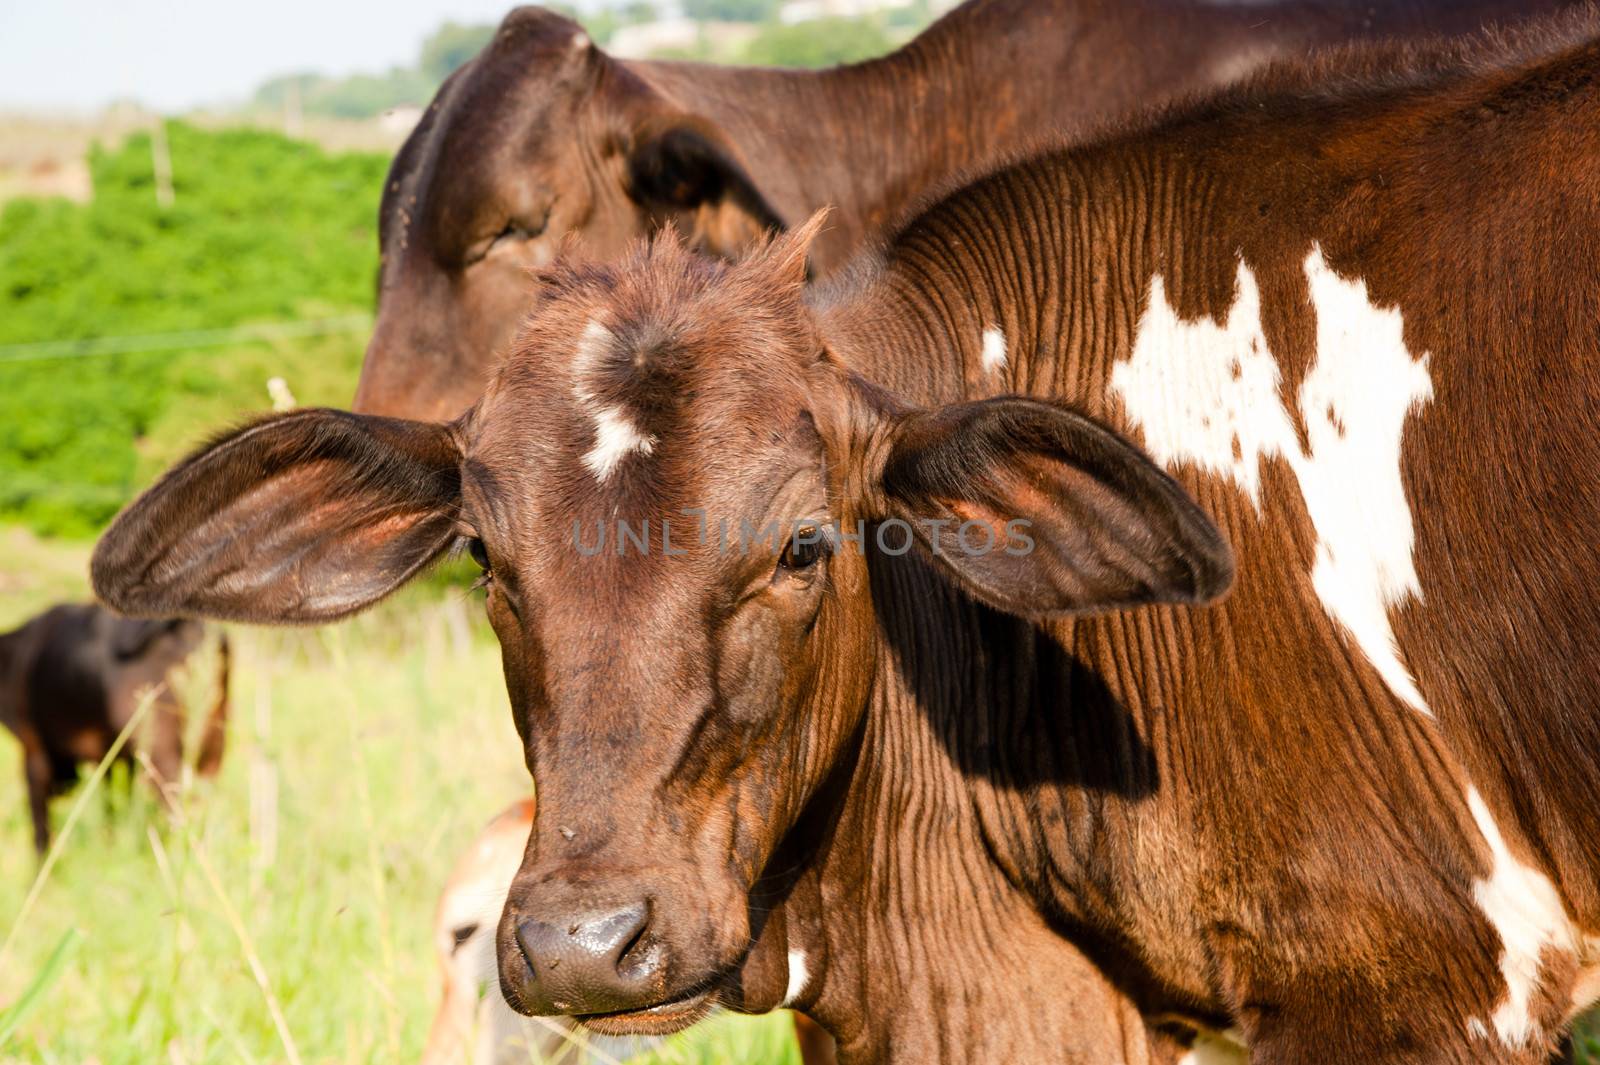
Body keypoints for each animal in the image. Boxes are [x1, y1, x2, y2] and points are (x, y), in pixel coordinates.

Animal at [0, 601, 232, 850]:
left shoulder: (33, 750)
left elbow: (39, 821)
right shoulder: (111, 755)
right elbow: (113, 801)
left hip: (158, 743)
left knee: (175, 799)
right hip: (214, 734)